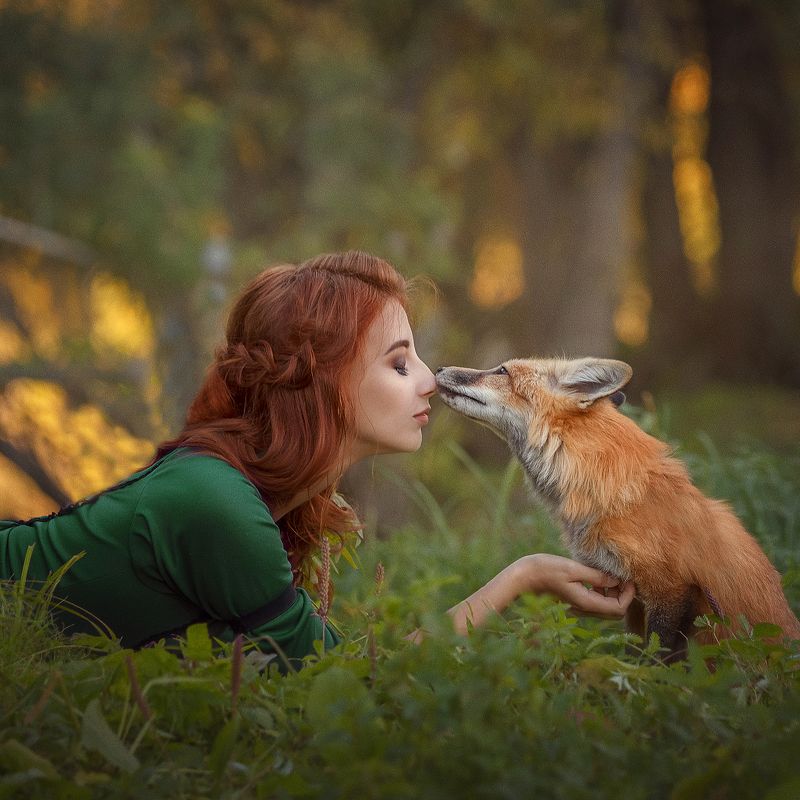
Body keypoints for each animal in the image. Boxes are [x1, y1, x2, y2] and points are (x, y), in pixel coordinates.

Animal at [435, 356, 800, 659]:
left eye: (501, 371)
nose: (438, 368)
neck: (612, 492)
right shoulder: (634, 598)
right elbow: (633, 650)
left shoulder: (673, 589)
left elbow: (656, 661)